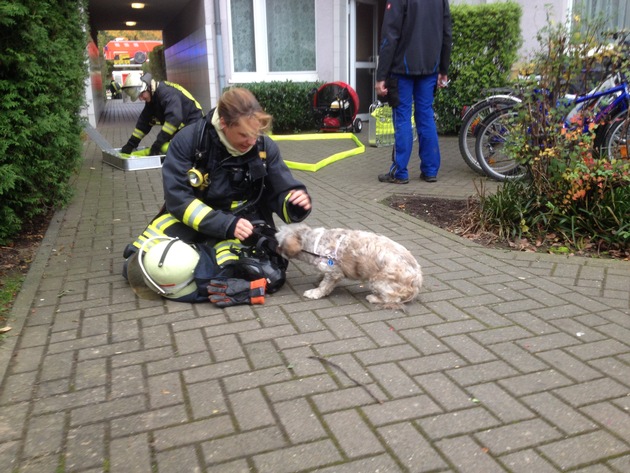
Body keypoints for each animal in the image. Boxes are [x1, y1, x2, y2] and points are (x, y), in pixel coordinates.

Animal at [276, 222, 424, 310]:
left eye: (278, 242)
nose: (275, 248)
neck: (316, 242)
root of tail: (417, 278)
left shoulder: (334, 272)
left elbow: (324, 286)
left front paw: (315, 292)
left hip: (378, 281)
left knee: (392, 299)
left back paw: (373, 298)